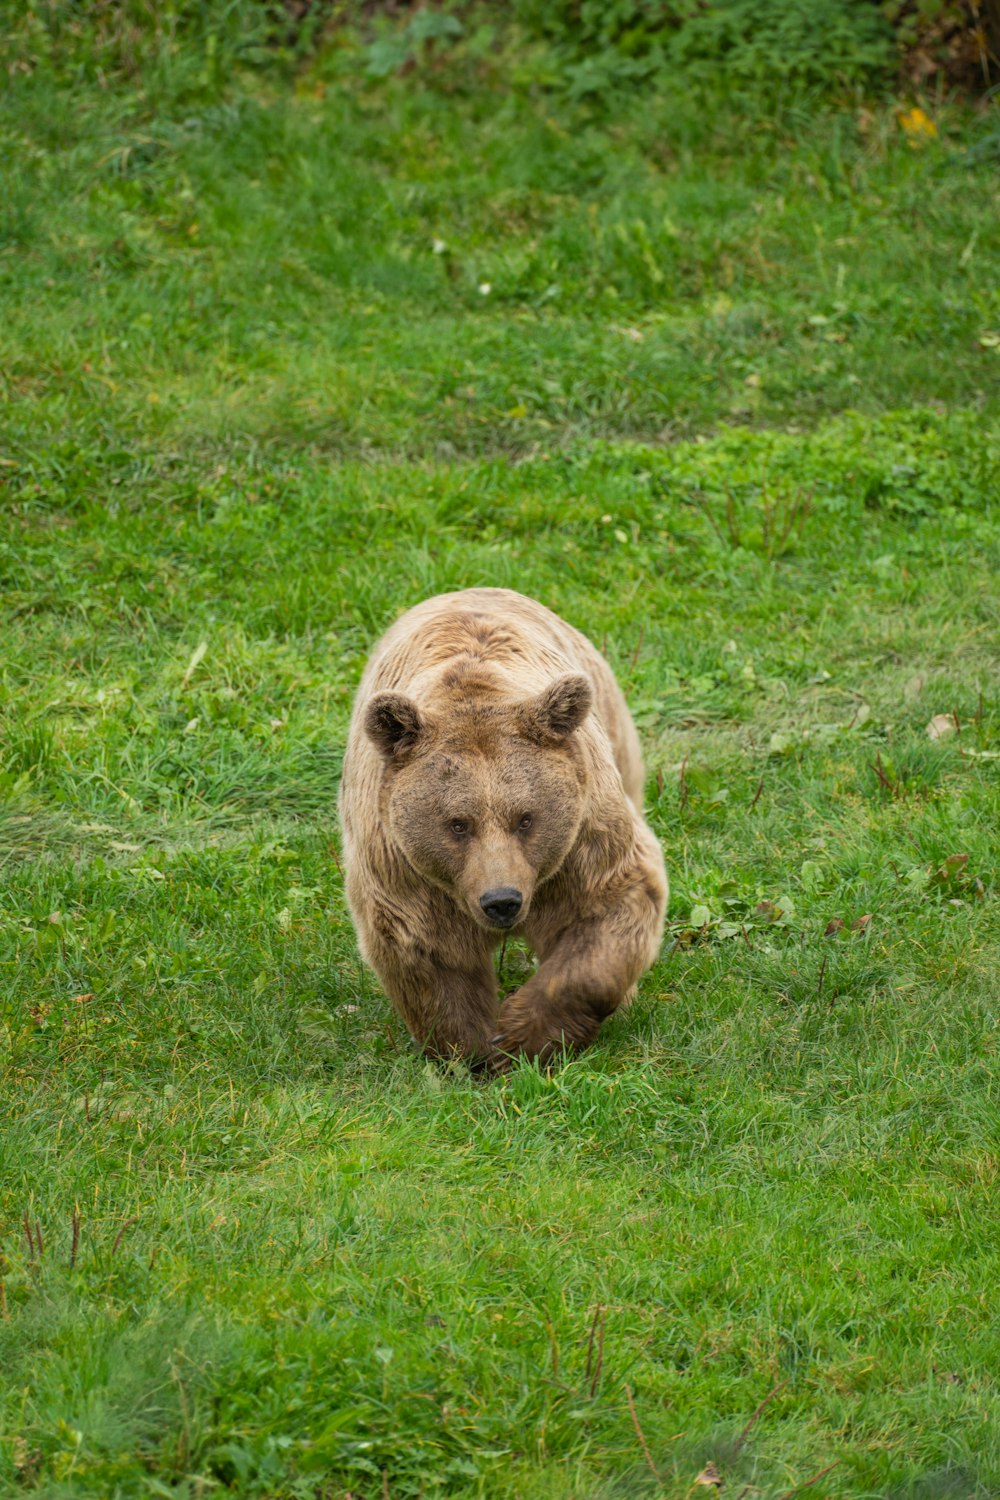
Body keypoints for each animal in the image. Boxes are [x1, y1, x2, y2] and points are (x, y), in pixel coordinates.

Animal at [340, 585, 668, 1068]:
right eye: (458, 824)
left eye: (525, 818)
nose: (502, 902)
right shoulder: (403, 865)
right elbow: (428, 947)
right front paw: (473, 1049)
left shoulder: (581, 838)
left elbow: (607, 910)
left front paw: (522, 1034)